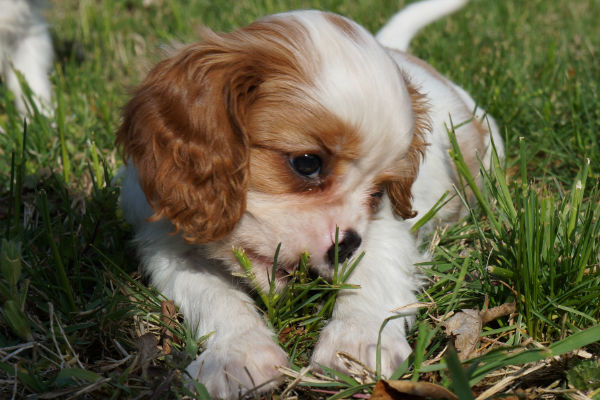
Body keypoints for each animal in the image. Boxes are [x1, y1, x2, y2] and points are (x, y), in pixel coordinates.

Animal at [116, 0, 502, 396]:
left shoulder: (385, 228)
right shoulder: (167, 244)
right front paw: (236, 357)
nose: (346, 245)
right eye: (307, 163)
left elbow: (373, 273)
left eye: (378, 191)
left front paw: (357, 343)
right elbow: (213, 294)